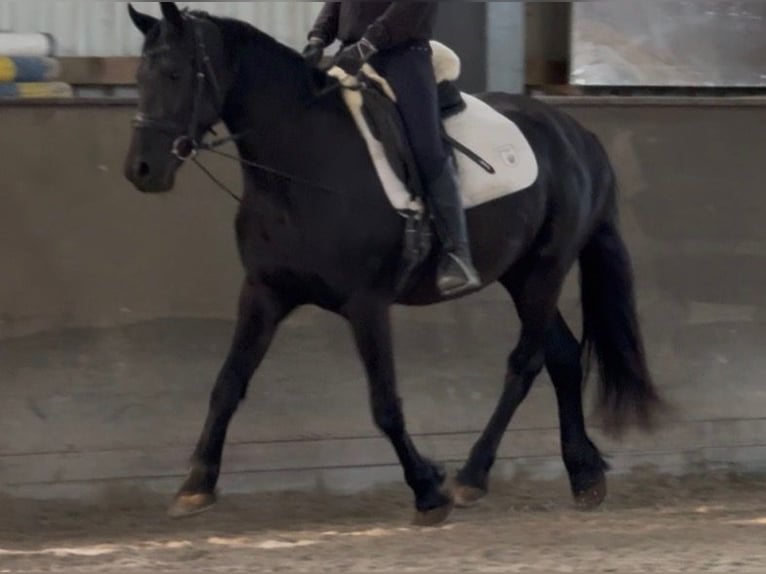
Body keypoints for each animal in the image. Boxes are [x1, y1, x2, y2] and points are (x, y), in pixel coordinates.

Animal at [123, 2, 663, 526]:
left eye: (175, 73)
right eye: (140, 77)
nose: (141, 170)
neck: (303, 160)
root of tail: (576, 134)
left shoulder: (367, 305)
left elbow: (384, 404)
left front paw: (428, 491)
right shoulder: (263, 292)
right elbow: (227, 384)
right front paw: (195, 485)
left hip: (545, 270)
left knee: (525, 364)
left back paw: (472, 477)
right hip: (520, 274)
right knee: (564, 357)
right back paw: (585, 476)